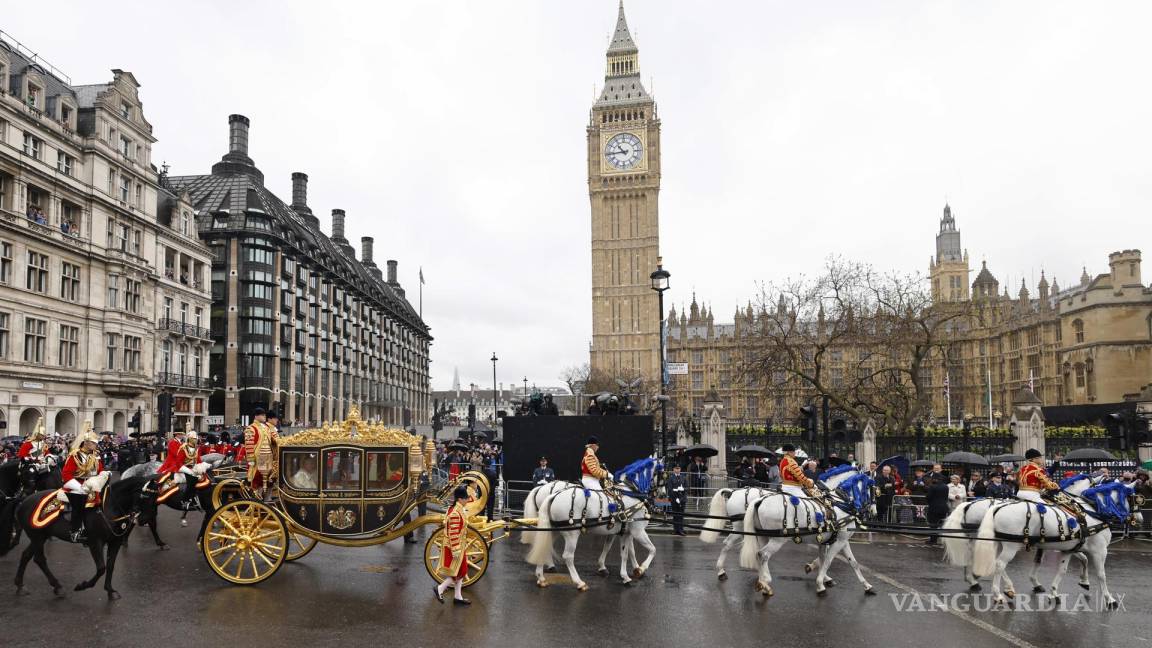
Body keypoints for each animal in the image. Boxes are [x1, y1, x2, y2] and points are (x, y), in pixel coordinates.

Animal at [0, 472, 157, 599]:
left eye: (156, 497)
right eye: (145, 496)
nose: (145, 520)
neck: (109, 506)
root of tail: (23, 500)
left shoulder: (115, 542)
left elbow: (111, 566)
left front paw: (110, 590)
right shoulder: (95, 542)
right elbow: (101, 568)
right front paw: (83, 586)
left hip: (40, 536)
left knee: (26, 556)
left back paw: (22, 586)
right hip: (37, 537)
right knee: (39, 559)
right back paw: (57, 586)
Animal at [525, 456, 654, 588]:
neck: (630, 493)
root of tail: (551, 494)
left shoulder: (620, 531)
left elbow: (618, 549)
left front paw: (617, 569)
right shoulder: (637, 531)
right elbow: (648, 549)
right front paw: (640, 569)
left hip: (553, 529)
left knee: (544, 546)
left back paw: (542, 576)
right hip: (571, 534)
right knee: (567, 556)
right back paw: (578, 581)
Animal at [732, 463, 875, 594]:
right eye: (872, 488)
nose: (872, 512)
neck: (839, 503)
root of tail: (760, 500)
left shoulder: (837, 541)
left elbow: (850, 562)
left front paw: (866, 585)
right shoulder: (839, 541)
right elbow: (828, 560)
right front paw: (820, 583)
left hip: (764, 536)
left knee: (759, 555)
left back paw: (763, 581)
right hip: (777, 540)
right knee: (762, 554)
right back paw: (765, 582)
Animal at [967, 479, 1138, 604]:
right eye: (1134, 498)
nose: (1138, 520)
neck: (1091, 512)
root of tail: (997, 508)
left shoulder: (1069, 548)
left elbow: (1065, 568)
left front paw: (1056, 591)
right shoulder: (1100, 550)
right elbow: (1101, 574)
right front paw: (1109, 599)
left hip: (999, 543)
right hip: (1010, 546)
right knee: (999, 565)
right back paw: (997, 594)